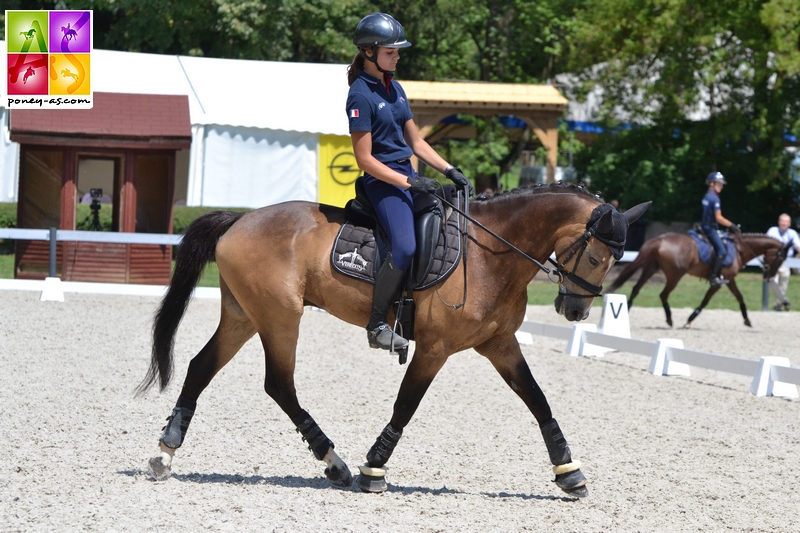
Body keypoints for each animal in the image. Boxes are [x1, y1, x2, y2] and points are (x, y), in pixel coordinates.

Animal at [136, 183, 648, 498]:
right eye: (598, 256)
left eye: (615, 258)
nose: (576, 312)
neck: (492, 253)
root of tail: (240, 220)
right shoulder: (436, 348)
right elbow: (407, 404)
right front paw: (374, 468)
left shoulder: (500, 343)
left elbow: (538, 400)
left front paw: (569, 473)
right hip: (279, 317)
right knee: (278, 384)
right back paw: (336, 463)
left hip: (245, 315)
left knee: (203, 367)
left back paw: (166, 451)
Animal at [608, 232, 788, 328]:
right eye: (781, 258)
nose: (769, 277)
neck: (739, 250)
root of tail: (659, 239)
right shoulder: (718, 282)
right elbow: (705, 300)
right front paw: (689, 320)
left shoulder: (729, 279)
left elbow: (739, 297)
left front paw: (747, 319)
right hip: (675, 275)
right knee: (663, 294)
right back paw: (670, 319)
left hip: (651, 268)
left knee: (636, 289)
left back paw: (626, 311)